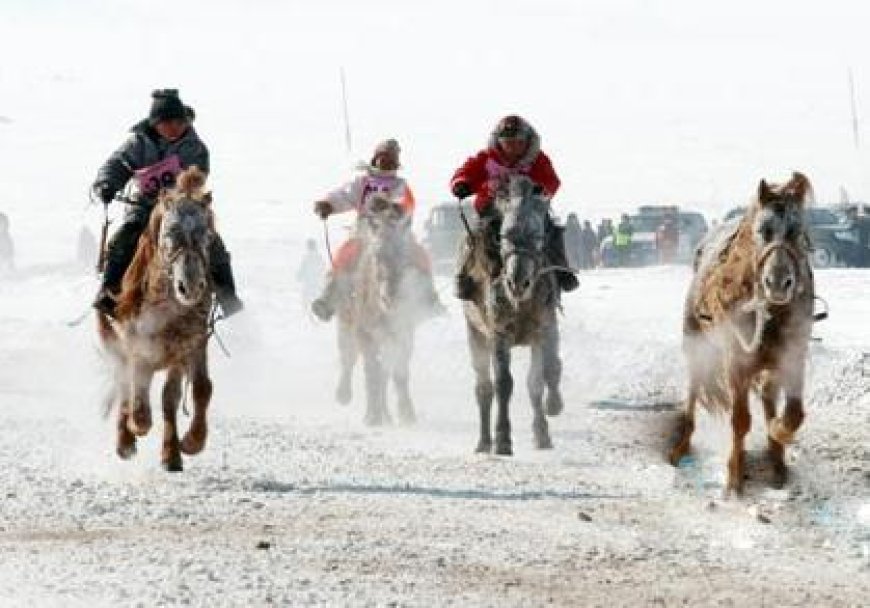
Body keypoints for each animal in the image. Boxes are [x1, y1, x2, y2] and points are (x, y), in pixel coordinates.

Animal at [96, 166, 215, 470]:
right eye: (170, 231)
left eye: (207, 233)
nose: (191, 286)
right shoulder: (137, 345)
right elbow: (137, 392)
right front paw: (137, 425)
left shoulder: (190, 344)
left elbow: (198, 389)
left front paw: (190, 443)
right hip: (113, 342)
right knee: (124, 383)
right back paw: (125, 441)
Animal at [336, 194, 428, 422]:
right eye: (377, 255)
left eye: (405, 255)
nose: (390, 296)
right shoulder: (365, 333)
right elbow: (372, 371)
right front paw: (372, 416)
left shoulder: (403, 332)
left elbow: (398, 371)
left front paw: (406, 413)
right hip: (346, 322)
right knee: (348, 356)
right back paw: (344, 394)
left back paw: (386, 413)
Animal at [464, 173, 564, 454]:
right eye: (505, 235)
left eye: (537, 234)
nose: (517, 282)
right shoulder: (499, 333)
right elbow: (503, 384)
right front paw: (503, 440)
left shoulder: (545, 327)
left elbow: (543, 376)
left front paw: (548, 419)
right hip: (476, 334)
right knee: (483, 388)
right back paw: (484, 442)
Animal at [676, 172, 816, 494]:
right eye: (763, 230)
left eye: (796, 232)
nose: (778, 282)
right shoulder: (735, 362)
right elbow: (740, 420)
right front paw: (734, 477)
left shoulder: (792, 358)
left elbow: (793, 413)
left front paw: (778, 439)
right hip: (695, 342)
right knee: (693, 391)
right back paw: (680, 446)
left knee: (767, 397)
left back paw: (777, 461)